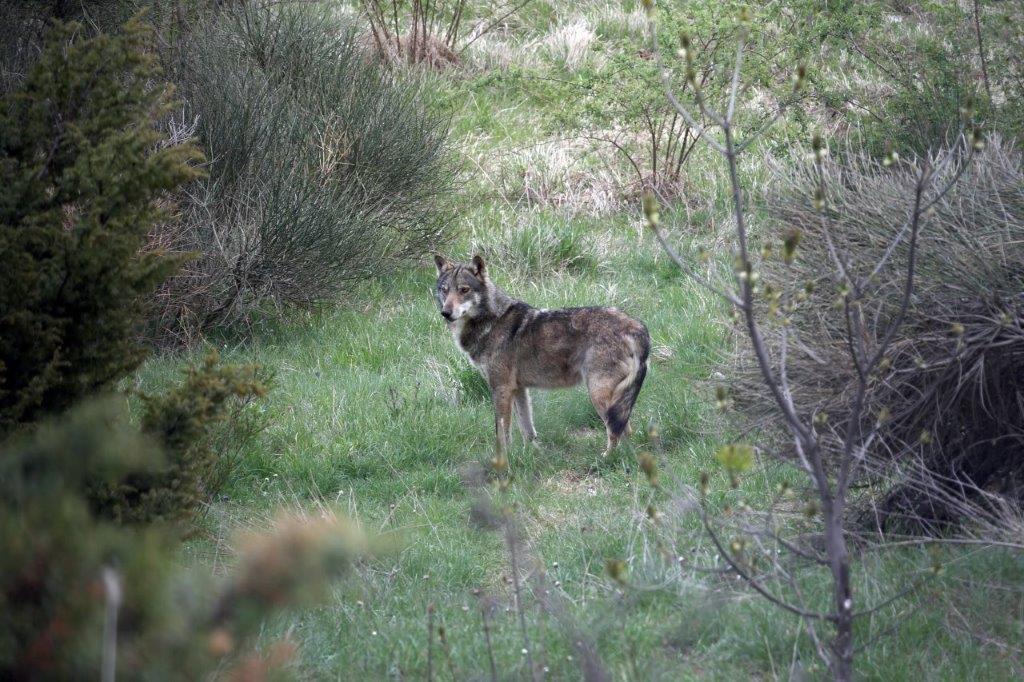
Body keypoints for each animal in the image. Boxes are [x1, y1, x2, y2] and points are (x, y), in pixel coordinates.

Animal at [432, 253, 647, 456]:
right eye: (445, 290)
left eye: (464, 290)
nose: (445, 313)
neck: (492, 321)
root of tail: (637, 327)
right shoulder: (519, 389)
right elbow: (528, 430)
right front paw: (533, 455)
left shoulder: (501, 388)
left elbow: (501, 433)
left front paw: (503, 461)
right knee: (626, 429)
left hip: (598, 396)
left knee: (618, 430)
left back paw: (607, 457)